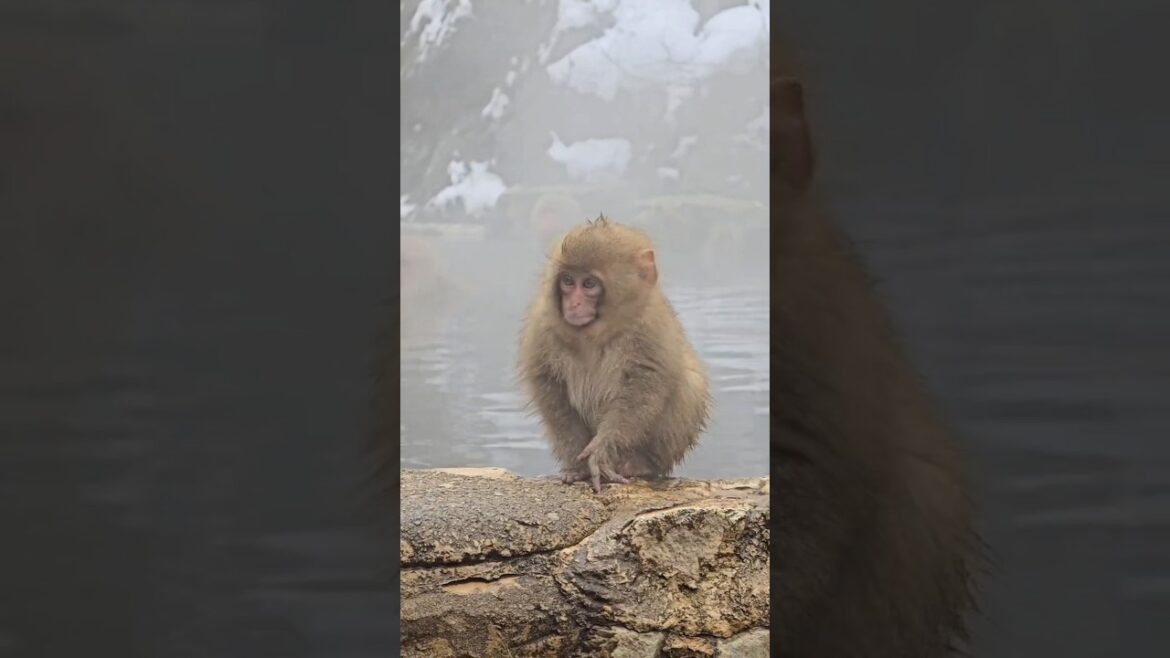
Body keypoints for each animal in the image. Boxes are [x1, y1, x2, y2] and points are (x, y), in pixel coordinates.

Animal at [516, 217, 710, 494]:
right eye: (568, 281)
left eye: (589, 284)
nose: (574, 304)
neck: (595, 332)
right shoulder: (541, 324)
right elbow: (550, 387)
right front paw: (579, 466)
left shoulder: (650, 324)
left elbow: (644, 385)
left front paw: (601, 452)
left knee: (690, 383)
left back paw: (639, 463)